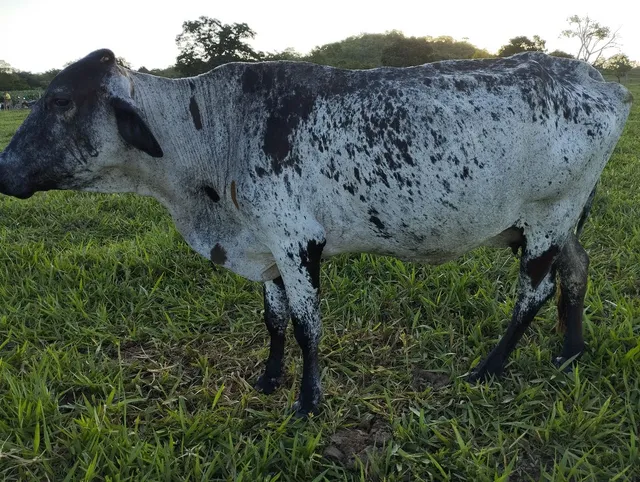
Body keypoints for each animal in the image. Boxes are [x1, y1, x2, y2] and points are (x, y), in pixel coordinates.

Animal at [0, 49, 632, 416]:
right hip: (559, 222)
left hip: (548, 215)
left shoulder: (298, 241)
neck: (216, 132)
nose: (4, 169)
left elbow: (307, 326)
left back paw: (490, 367)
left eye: (61, 100)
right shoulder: (265, 247)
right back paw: (570, 350)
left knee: (535, 291)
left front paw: (308, 402)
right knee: (577, 270)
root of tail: (605, 82)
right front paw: (269, 378)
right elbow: (274, 320)